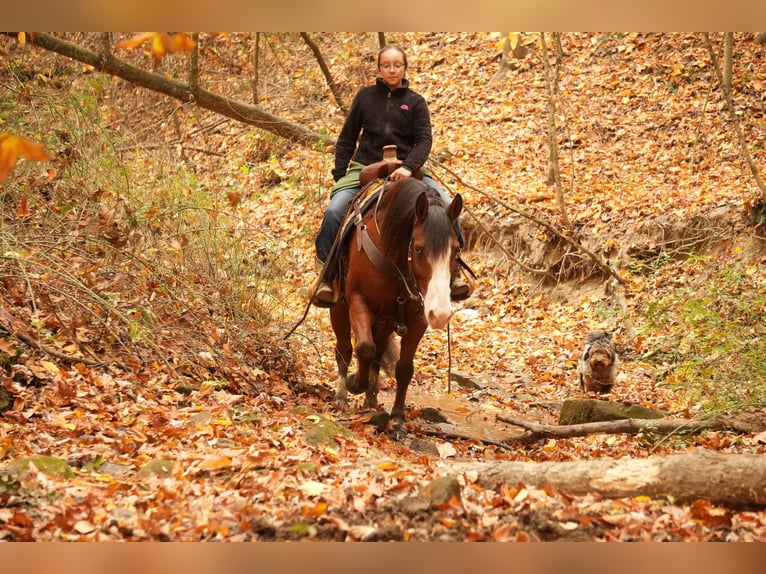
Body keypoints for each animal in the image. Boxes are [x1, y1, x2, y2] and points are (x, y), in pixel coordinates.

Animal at [328, 179, 462, 440]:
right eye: (418, 249)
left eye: (457, 250)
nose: (441, 314)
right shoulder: (358, 301)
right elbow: (364, 349)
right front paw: (353, 383)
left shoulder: (419, 317)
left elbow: (404, 368)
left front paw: (398, 419)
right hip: (339, 309)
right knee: (345, 349)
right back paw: (341, 395)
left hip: (385, 321)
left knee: (379, 354)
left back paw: (371, 399)